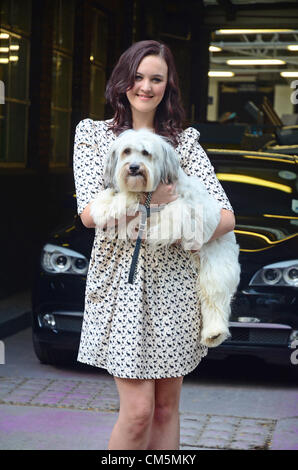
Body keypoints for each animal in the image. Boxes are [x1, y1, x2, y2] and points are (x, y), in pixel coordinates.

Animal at [89, 130, 241, 346]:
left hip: (215, 269)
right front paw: (103, 206)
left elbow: (155, 210)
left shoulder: (183, 209)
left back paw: (214, 332)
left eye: (146, 153)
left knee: (215, 301)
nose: (134, 167)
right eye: (127, 151)